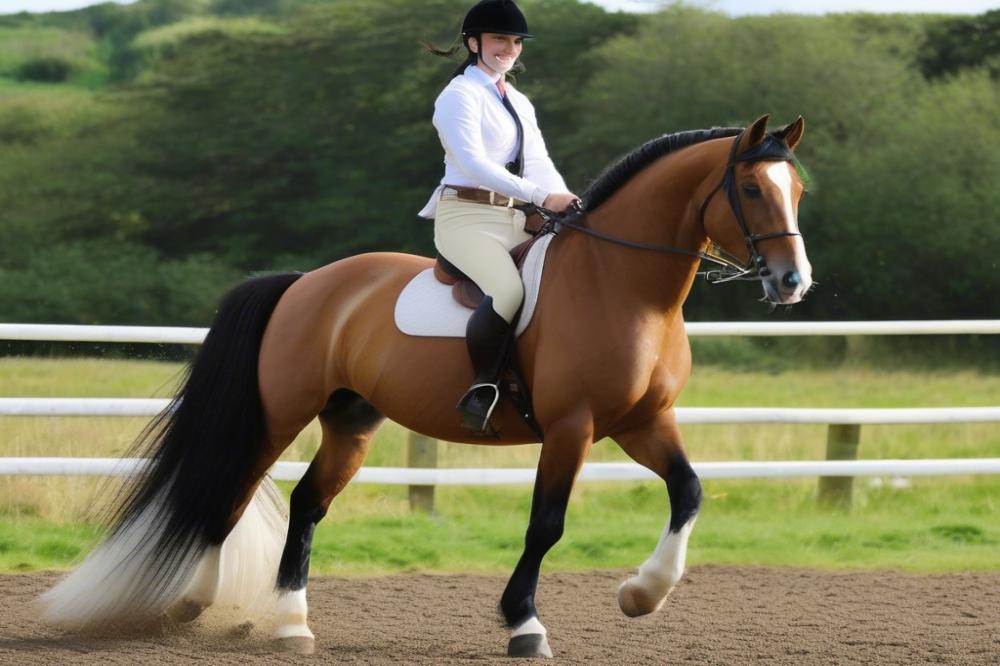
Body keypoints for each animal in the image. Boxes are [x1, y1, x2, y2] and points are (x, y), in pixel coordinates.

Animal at [39, 113, 812, 652]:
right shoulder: (573, 426)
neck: (623, 285)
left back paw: (291, 623)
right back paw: (197, 605)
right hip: (280, 413)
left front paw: (641, 595)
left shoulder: (642, 422)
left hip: (350, 419)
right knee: (229, 494)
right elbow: (547, 524)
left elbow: (689, 491)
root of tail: (305, 282)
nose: (792, 282)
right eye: (750, 188)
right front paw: (524, 626)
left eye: (798, 189)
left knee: (306, 504)